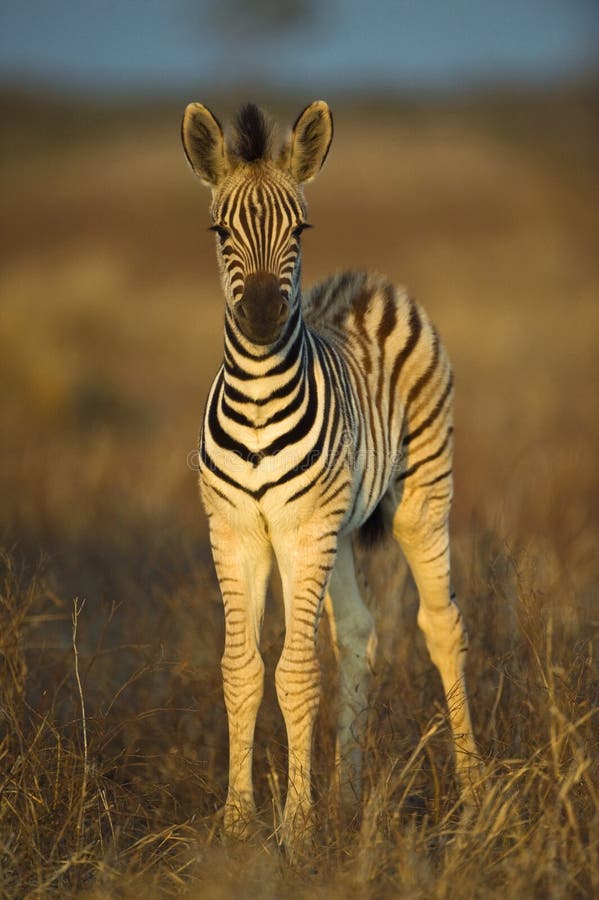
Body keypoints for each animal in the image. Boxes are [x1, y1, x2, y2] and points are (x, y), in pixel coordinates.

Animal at [180, 102, 480, 848]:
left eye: (299, 229)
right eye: (219, 231)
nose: (261, 316)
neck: (259, 398)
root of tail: (370, 283)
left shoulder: (300, 531)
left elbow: (294, 673)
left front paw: (296, 827)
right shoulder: (235, 532)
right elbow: (240, 670)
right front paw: (239, 822)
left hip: (418, 498)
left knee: (442, 626)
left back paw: (476, 794)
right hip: (339, 529)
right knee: (359, 634)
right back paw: (347, 799)